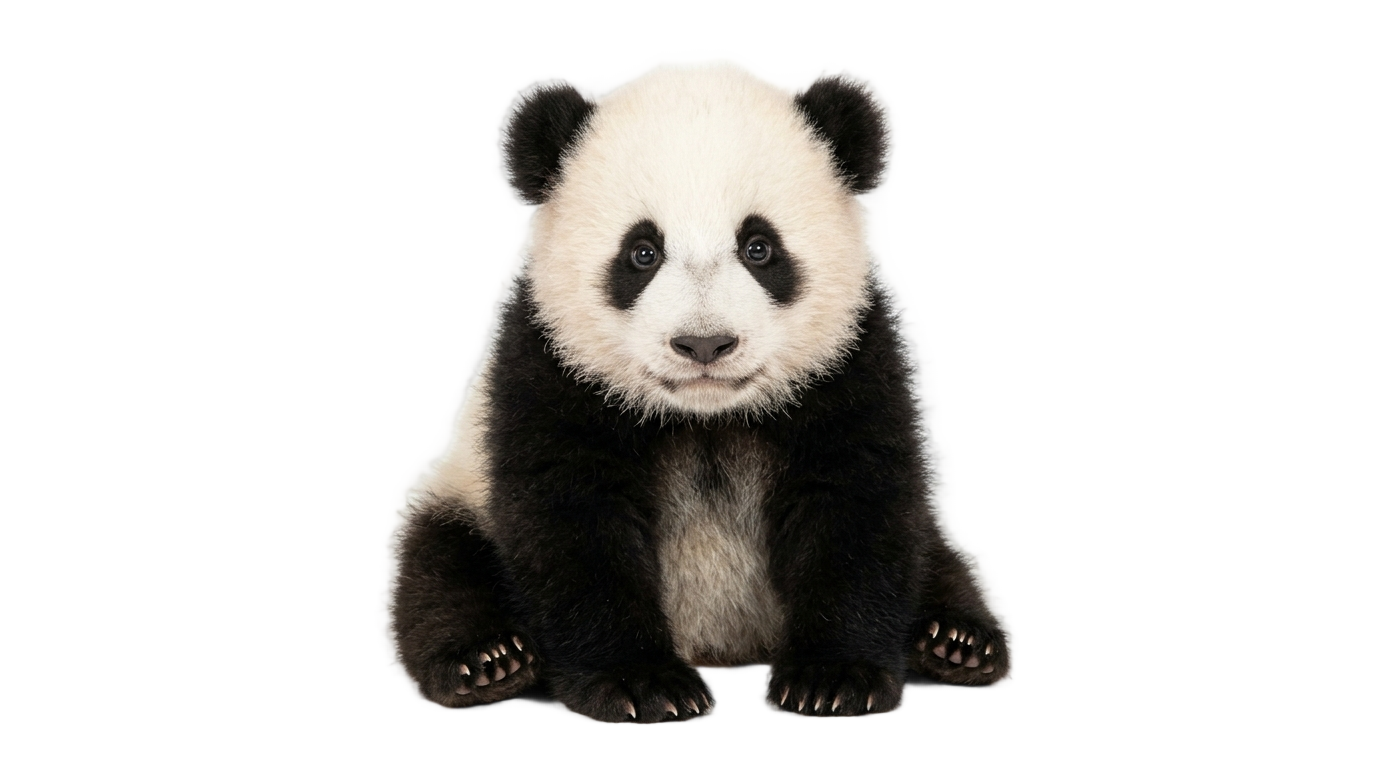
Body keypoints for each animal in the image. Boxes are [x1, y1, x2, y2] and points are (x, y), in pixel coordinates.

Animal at [390, 67, 1008, 721]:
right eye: (642, 252)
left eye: (759, 247)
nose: (705, 344)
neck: (705, 417)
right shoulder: (548, 369)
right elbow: (571, 522)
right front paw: (640, 684)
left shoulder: (850, 364)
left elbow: (854, 504)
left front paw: (835, 679)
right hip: (462, 494)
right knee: (442, 569)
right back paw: (489, 663)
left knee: (932, 554)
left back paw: (954, 641)